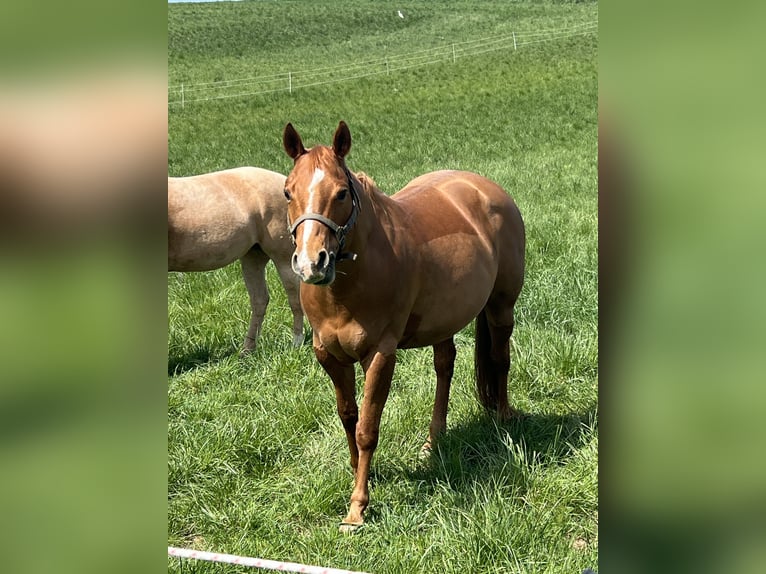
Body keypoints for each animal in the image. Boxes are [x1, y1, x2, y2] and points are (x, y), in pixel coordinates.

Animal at [168, 167, 304, 353]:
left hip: (283, 259)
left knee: (295, 298)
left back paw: (296, 343)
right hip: (253, 257)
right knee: (260, 300)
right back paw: (247, 350)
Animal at [282, 121, 525, 532]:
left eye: (342, 192)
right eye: (287, 192)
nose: (312, 263)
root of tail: (487, 188)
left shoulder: (381, 354)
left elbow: (367, 428)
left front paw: (357, 508)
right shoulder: (328, 355)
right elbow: (348, 416)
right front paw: (358, 472)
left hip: (501, 306)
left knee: (499, 357)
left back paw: (504, 416)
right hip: (444, 319)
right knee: (445, 365)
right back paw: (434, 440)